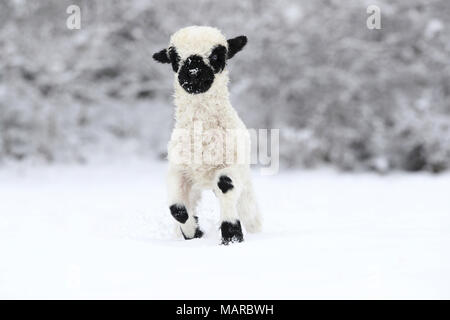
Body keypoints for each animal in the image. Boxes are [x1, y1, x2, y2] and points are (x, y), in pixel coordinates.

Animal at [153, 26, 262, 244]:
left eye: (217, 55)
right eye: (174, 57)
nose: (193, 72)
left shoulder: (232, 164)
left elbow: (226, 185)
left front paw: (231, 235)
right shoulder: (178, 168)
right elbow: (177, 208)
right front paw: (191, 231)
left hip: (244, 182)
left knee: (249, 211)